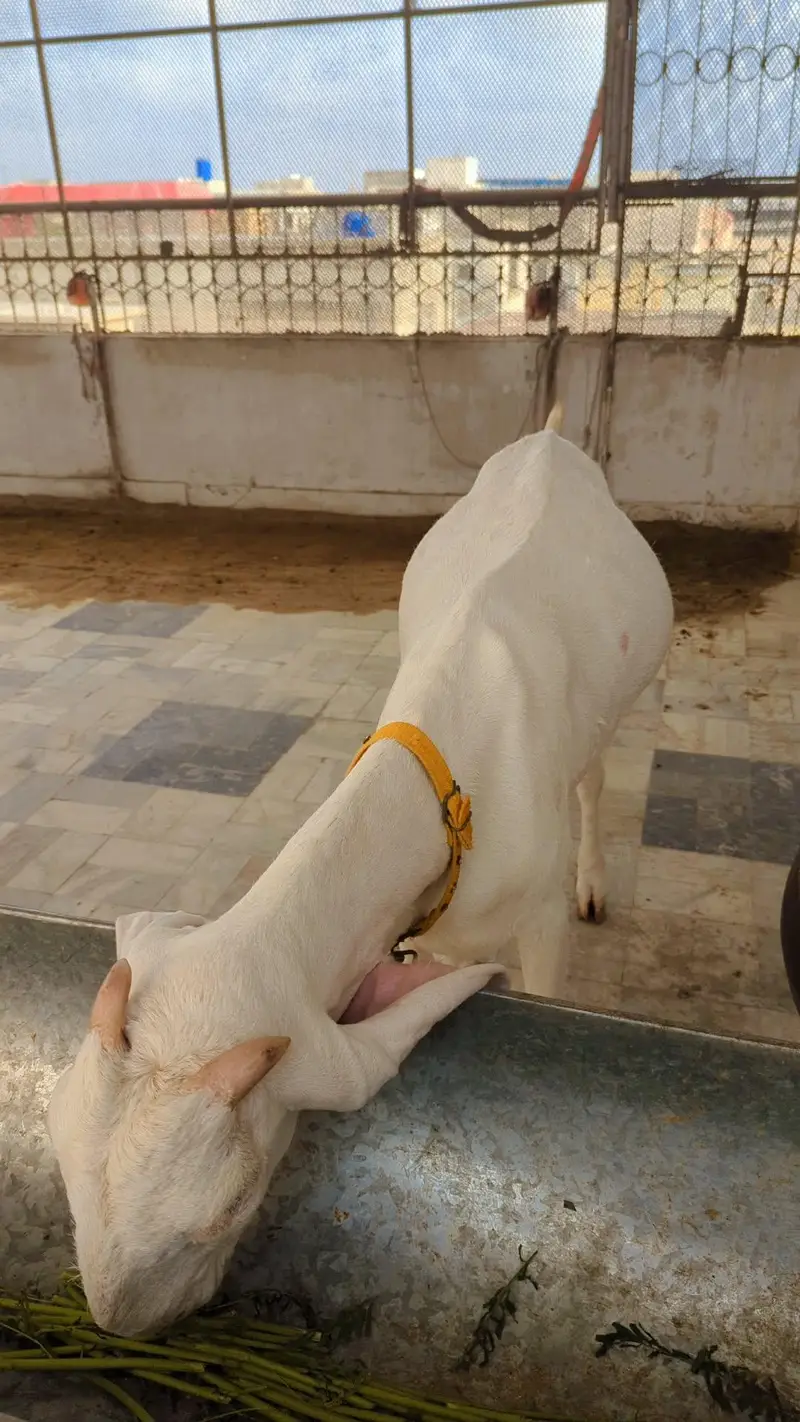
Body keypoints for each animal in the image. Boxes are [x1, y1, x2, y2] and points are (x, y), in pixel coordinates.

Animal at [48, 410, 673, 1336]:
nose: (123, 1324)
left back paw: (596, 877)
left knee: (596, 777)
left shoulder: (536, 913)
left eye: (229, 1208)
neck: (448, 783)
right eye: (58, 1156)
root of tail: (553, 433)